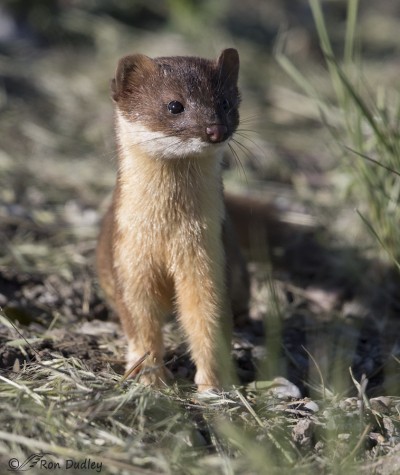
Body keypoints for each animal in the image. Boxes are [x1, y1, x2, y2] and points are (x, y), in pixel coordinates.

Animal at [95, 48, 248, 392]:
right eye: (174, 104)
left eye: (225, 102)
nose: (215, 129)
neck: (168, 231)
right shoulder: (127, 256)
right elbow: (139, 320)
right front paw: (149, 376)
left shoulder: (210, 253)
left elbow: (207, 316)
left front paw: (213, 384)